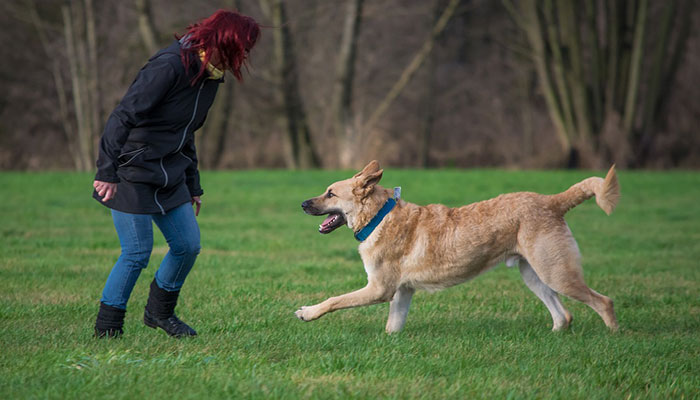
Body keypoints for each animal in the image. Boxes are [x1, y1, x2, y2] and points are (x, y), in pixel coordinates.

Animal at [296, 161, 616, 332]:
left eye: (330, 193)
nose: (302, 204)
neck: (379, 216)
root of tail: (553, 201)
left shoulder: (379, 289)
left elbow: (334, 300)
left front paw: (307, 312)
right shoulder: (402, 291)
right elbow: (393, 326)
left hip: (557, 272)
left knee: (603, 302)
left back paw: (614, 337)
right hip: (534, 274)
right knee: (564, 314)